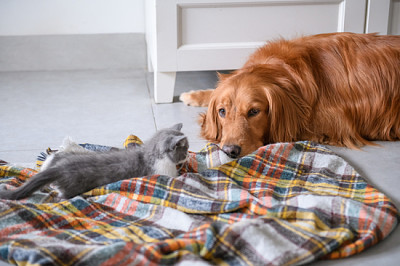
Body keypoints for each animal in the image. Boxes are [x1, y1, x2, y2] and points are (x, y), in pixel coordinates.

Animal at [0, 124, 189, 200]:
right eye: (185, 149)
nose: (187, 155)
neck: (150, 153)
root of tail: (61, 168)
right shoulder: (163, 173)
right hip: (73, 187)